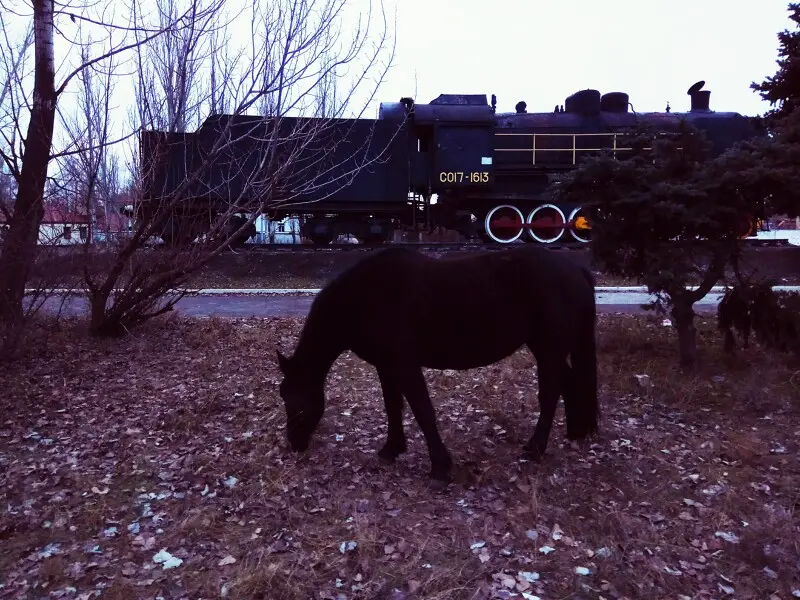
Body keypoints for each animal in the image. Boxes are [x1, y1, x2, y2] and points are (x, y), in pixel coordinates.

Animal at [278, 245, 596, 482]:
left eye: (295, 401)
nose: (294, 444)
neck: (365, 297)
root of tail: (575, 269)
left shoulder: (404, 365)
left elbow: (422, 410)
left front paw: (440, 467)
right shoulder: (386, 366)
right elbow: (393, 406)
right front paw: (391, 449)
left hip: (549, 349)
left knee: (551, 392)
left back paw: (536, 448)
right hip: (546, 349)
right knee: (568, 382)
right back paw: (575, 432)